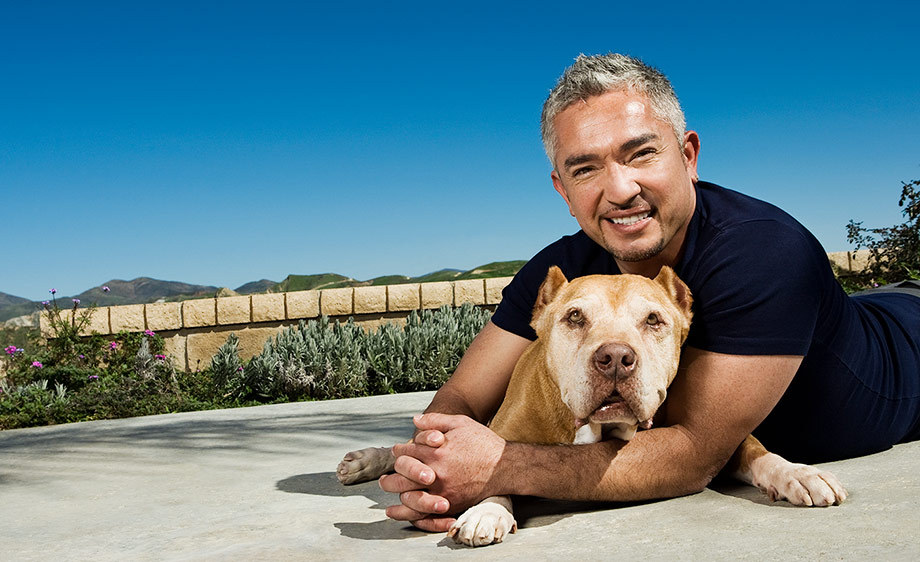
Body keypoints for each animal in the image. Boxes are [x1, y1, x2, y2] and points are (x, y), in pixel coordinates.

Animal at [336, 264, 848, 544]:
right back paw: (366, 460)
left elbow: (757, 450)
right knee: (410, 445)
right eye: (575, 316)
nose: (616, 359)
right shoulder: (498, 437)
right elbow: (492, 470)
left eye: (654, 319)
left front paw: (797, 472)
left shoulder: (712, 439)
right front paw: (487, 510)